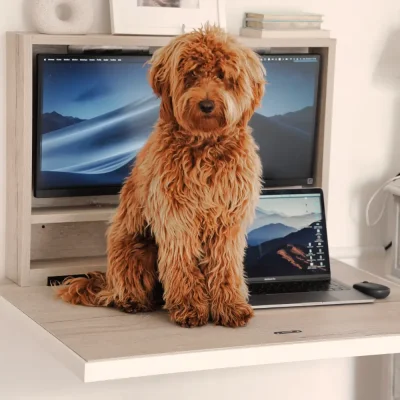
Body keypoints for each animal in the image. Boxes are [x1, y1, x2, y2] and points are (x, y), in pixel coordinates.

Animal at [57, 25, 266, 328]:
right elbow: (181, 261)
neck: (205, 145)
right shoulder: (176, 216)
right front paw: (190, 307)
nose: (206, 104)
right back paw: (132, 301)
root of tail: (106, 284)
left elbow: (225, 264)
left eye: (222, 75)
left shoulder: (228, 220)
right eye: (192, 74)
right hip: (135, 247)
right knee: (126, 286)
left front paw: (230, 307)